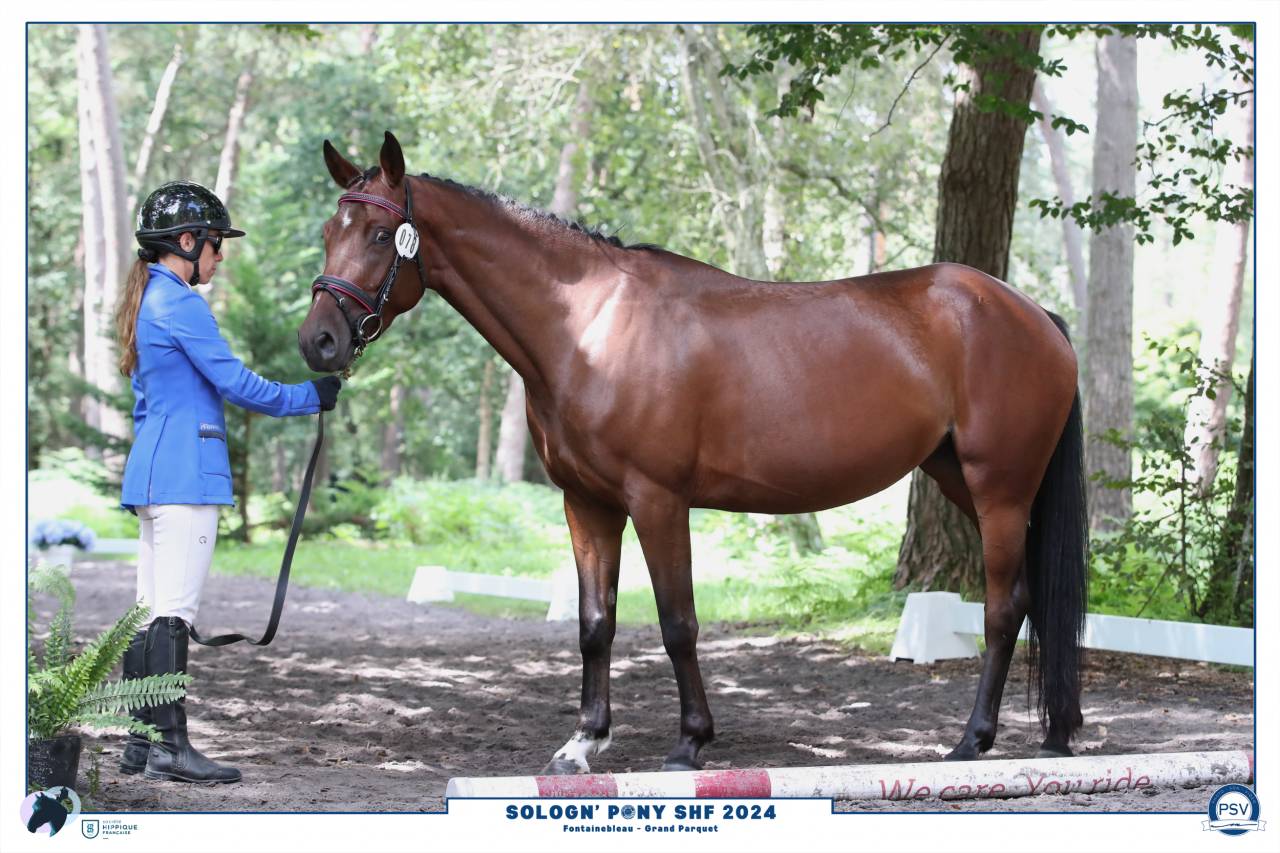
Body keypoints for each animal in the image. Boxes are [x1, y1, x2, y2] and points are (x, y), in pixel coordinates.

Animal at [299, 131, 1088, 775]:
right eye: (329, 230)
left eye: (380, 233)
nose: (319, 343)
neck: (590, 326)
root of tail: (1032, 313)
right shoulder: (587, 504)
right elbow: (595, 624)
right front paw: (583, 742)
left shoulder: (658, 500)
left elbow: (677, 622)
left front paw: (689, 742)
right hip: (963, 481)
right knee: (1025, 602)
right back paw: (1051, 732)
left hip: (1000, 488)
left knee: (1002, 607)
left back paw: (973, 740)